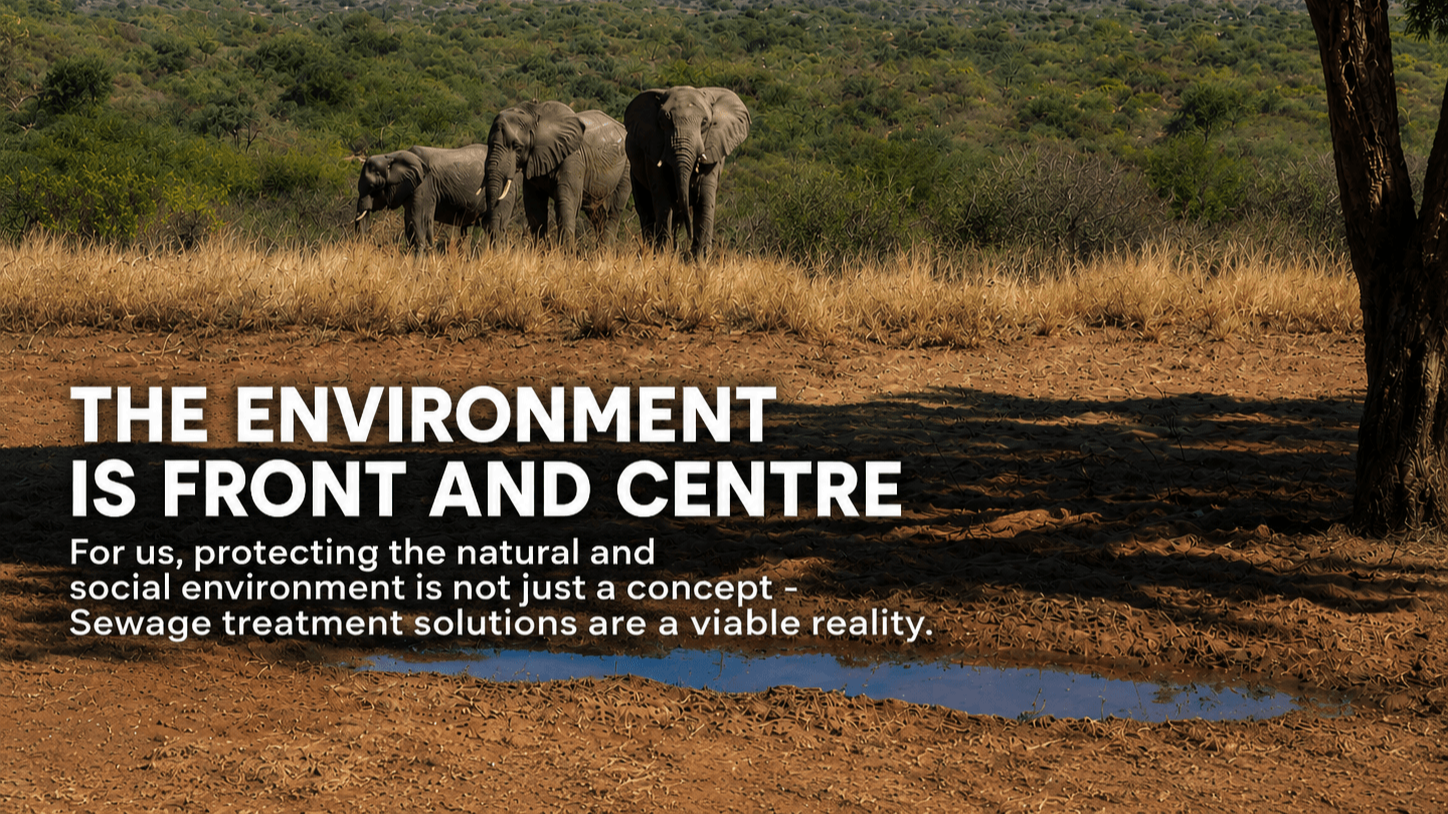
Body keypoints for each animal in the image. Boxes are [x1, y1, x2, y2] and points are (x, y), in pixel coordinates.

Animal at [354, 144, 503, 250]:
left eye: (373, 187)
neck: (392, 156)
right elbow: (410, 222)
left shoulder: (424, 186)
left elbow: (418, 221)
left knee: (495, 230)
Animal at [481, 100, 631, 246]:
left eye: (517, 147)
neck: (535, 115)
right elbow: (535, 206)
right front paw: (541, 252)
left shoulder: (573, 159)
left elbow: (566, 202)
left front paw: (565, 253)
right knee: (597, 215)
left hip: (626, 169)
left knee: (613, 211)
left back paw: (606, 251)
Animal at [624, 86, 750, 261]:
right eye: (664, 120)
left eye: (705, 123)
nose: (690, 238)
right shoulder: (653, 147)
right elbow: (662, 198)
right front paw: (663, 256)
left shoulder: (713, 151)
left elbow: (704, 198)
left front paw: (701, 259)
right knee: (646, 211)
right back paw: (651, 251)